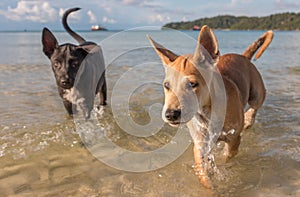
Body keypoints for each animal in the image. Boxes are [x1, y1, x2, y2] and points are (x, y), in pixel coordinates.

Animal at [146, 26, 274, 188]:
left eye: (192, 84)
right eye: (166, 86)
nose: (170, 114)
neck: (207, 111)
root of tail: (243, 56)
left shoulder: (233, 139)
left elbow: (226, 156)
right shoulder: (200, 145)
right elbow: (203, 174)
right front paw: (210, 185)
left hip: (257, 93)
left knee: (254, 107)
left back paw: (248, 119)